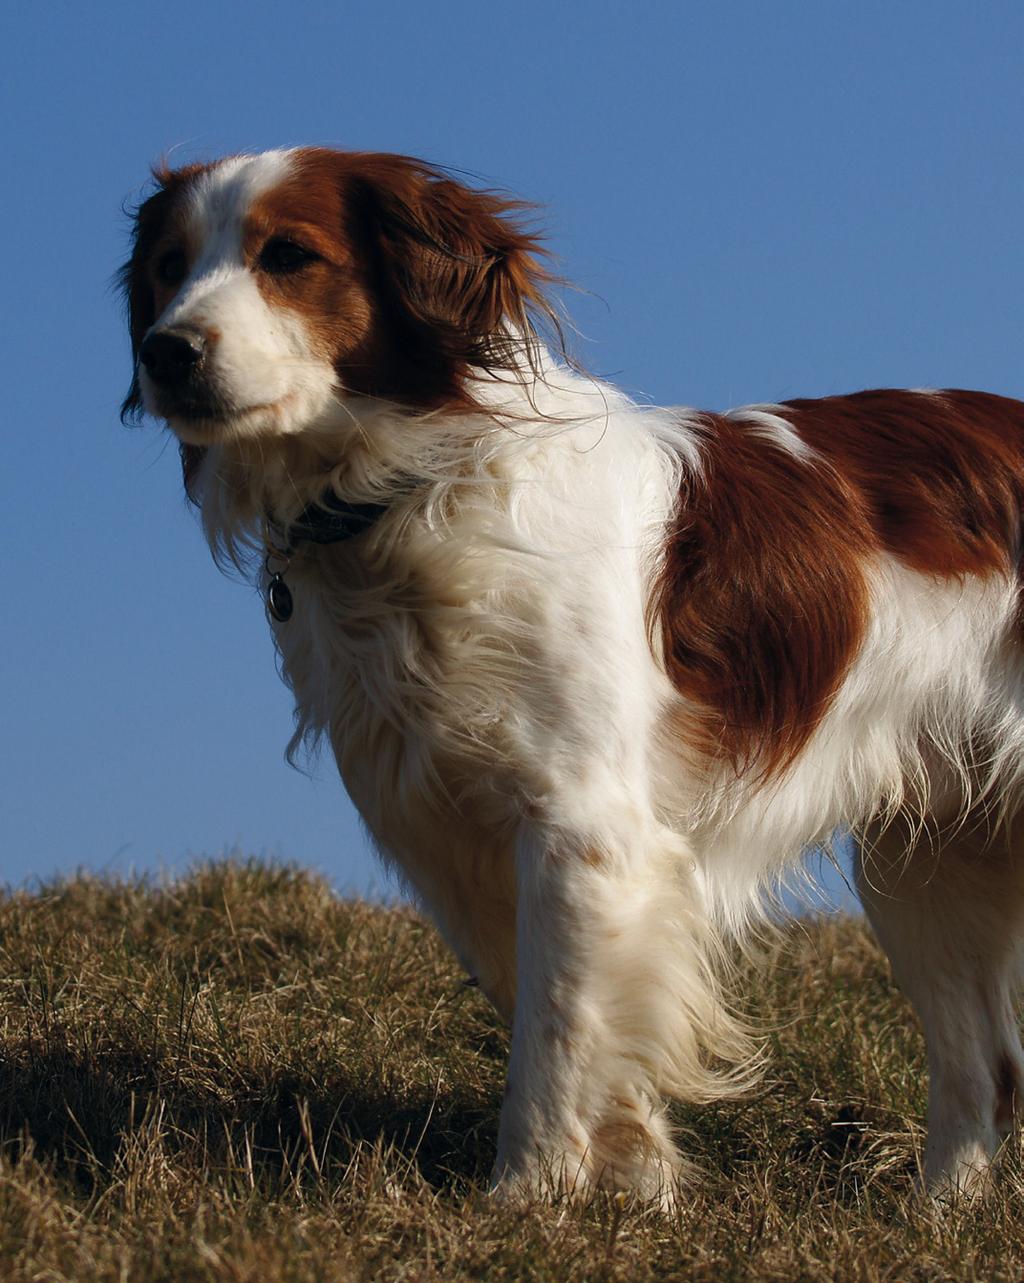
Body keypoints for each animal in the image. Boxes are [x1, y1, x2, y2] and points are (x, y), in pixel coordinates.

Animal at [124, 147, 1024, 1200]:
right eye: (169, 267)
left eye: (289, 256)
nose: (166, 352)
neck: (416, 488)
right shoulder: (459, 838)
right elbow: (580, 1022)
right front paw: (639, 1194)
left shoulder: (583, 822)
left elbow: (556, 1038)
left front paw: (527, 1198)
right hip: (926, 858)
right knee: (981, 1068)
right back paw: (935, 1215)